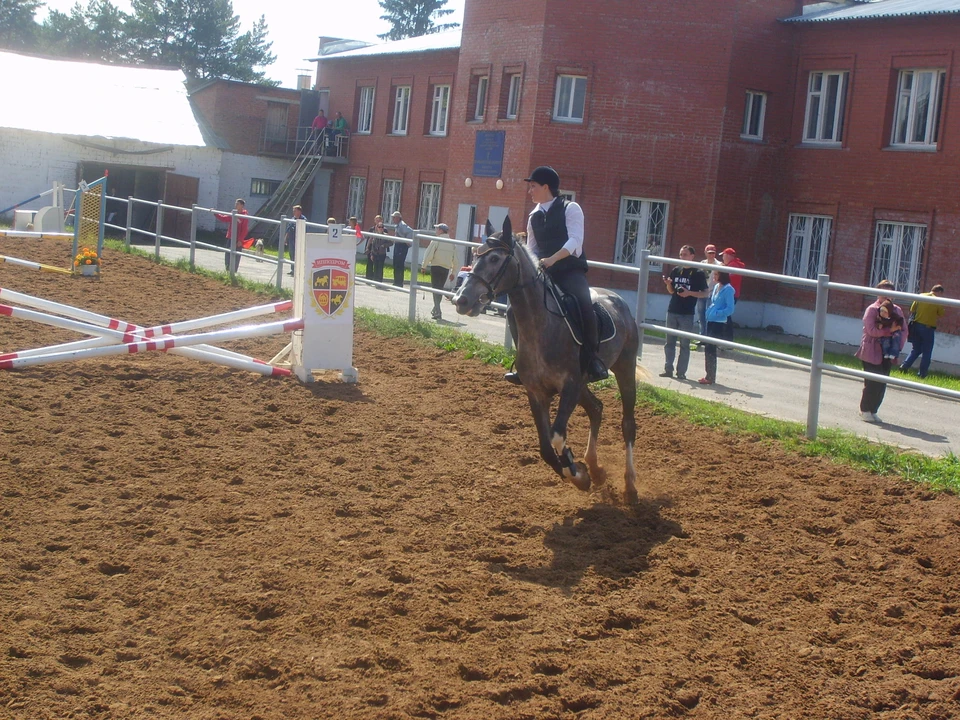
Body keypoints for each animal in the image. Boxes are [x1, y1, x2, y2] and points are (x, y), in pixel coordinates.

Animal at [456, 217, 640, 504]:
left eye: (495, 258)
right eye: (476, 255)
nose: (461, 300)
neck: (542, 326)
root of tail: (618, 299)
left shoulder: (570, 386)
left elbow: (556, 435)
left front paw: (576, 471)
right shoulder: (537, 392)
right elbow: (545, 447)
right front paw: (581, 474)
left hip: (625, 368)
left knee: (627, 425)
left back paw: (630, 486)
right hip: (586, 384)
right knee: (596, 409)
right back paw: (595, 468)